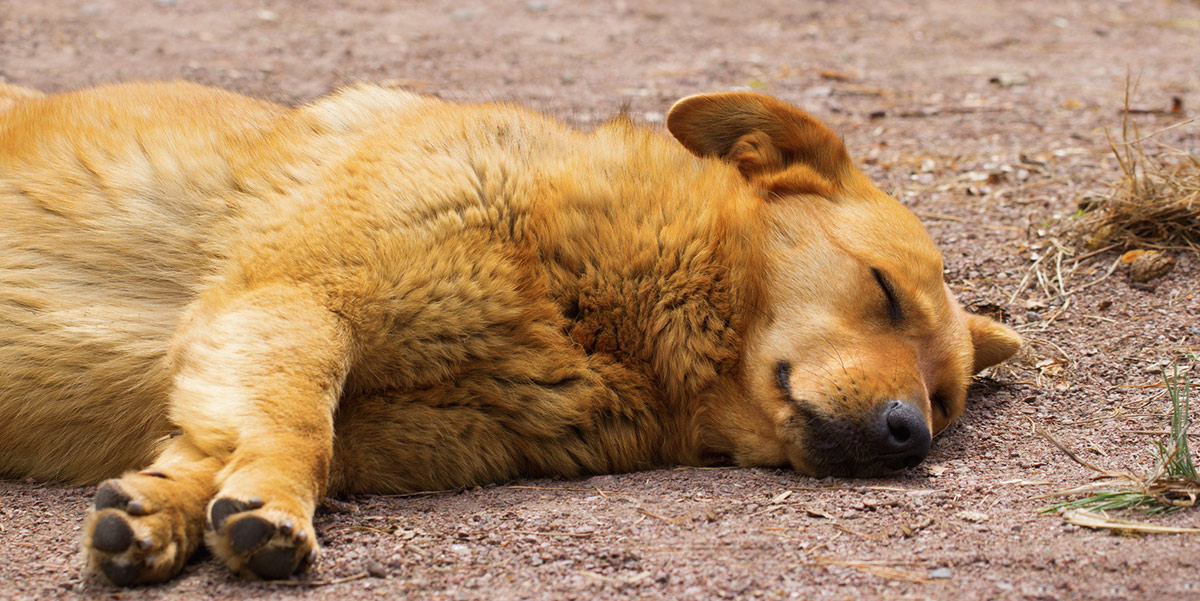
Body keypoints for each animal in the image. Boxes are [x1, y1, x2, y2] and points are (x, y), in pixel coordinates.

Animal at [0, 82, 1017, 583]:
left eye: (944, 400)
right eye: (883, 291)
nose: (908, 434)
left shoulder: (335, 400)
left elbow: (225, 449)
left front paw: (159, 515)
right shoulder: (294, 297)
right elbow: (295, 428)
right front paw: (269, 508)